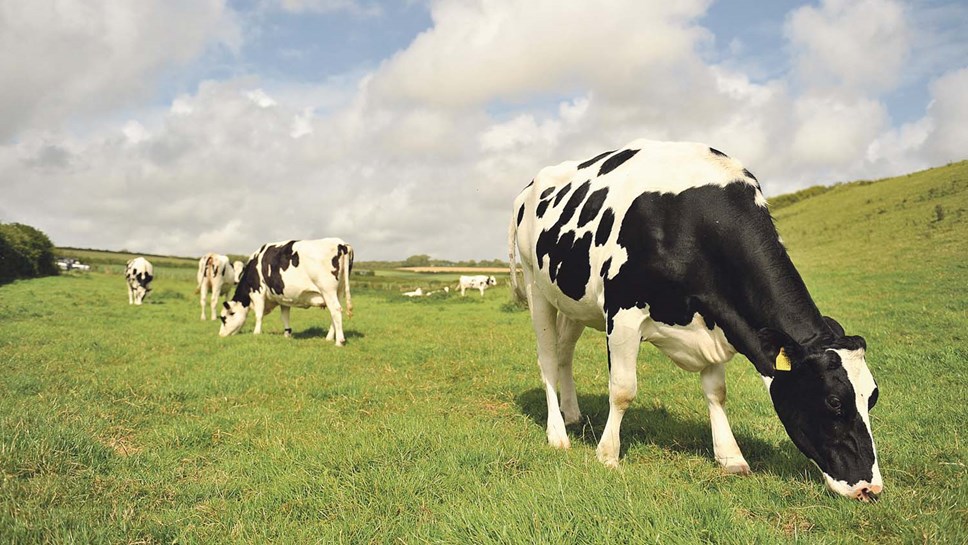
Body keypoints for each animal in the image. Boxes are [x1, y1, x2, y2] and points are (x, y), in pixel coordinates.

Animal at [217, 238, 354, 344]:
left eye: (225, 317)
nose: (221, 335)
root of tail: (341, 244)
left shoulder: (258, 292)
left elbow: (258, 315)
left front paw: (256, 333)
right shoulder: (283, 297)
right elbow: (285, 316)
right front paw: (287, 334)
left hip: (328, 290)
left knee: (335, 310)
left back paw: (339, 341)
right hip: (339, 291)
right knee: (335, 313)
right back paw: (329, 338)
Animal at [510, 140, 880, 502]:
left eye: (872, 397)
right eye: (834, 401)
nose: (870, 488)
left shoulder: (717, 316)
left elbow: (716, 392)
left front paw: (730, 456)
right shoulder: (623, 310)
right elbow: (623, 390)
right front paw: (607, 455)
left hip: (573, 300)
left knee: (565, 353)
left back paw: (572, 413)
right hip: (535, 286)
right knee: (547, 359)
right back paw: (558, 433)